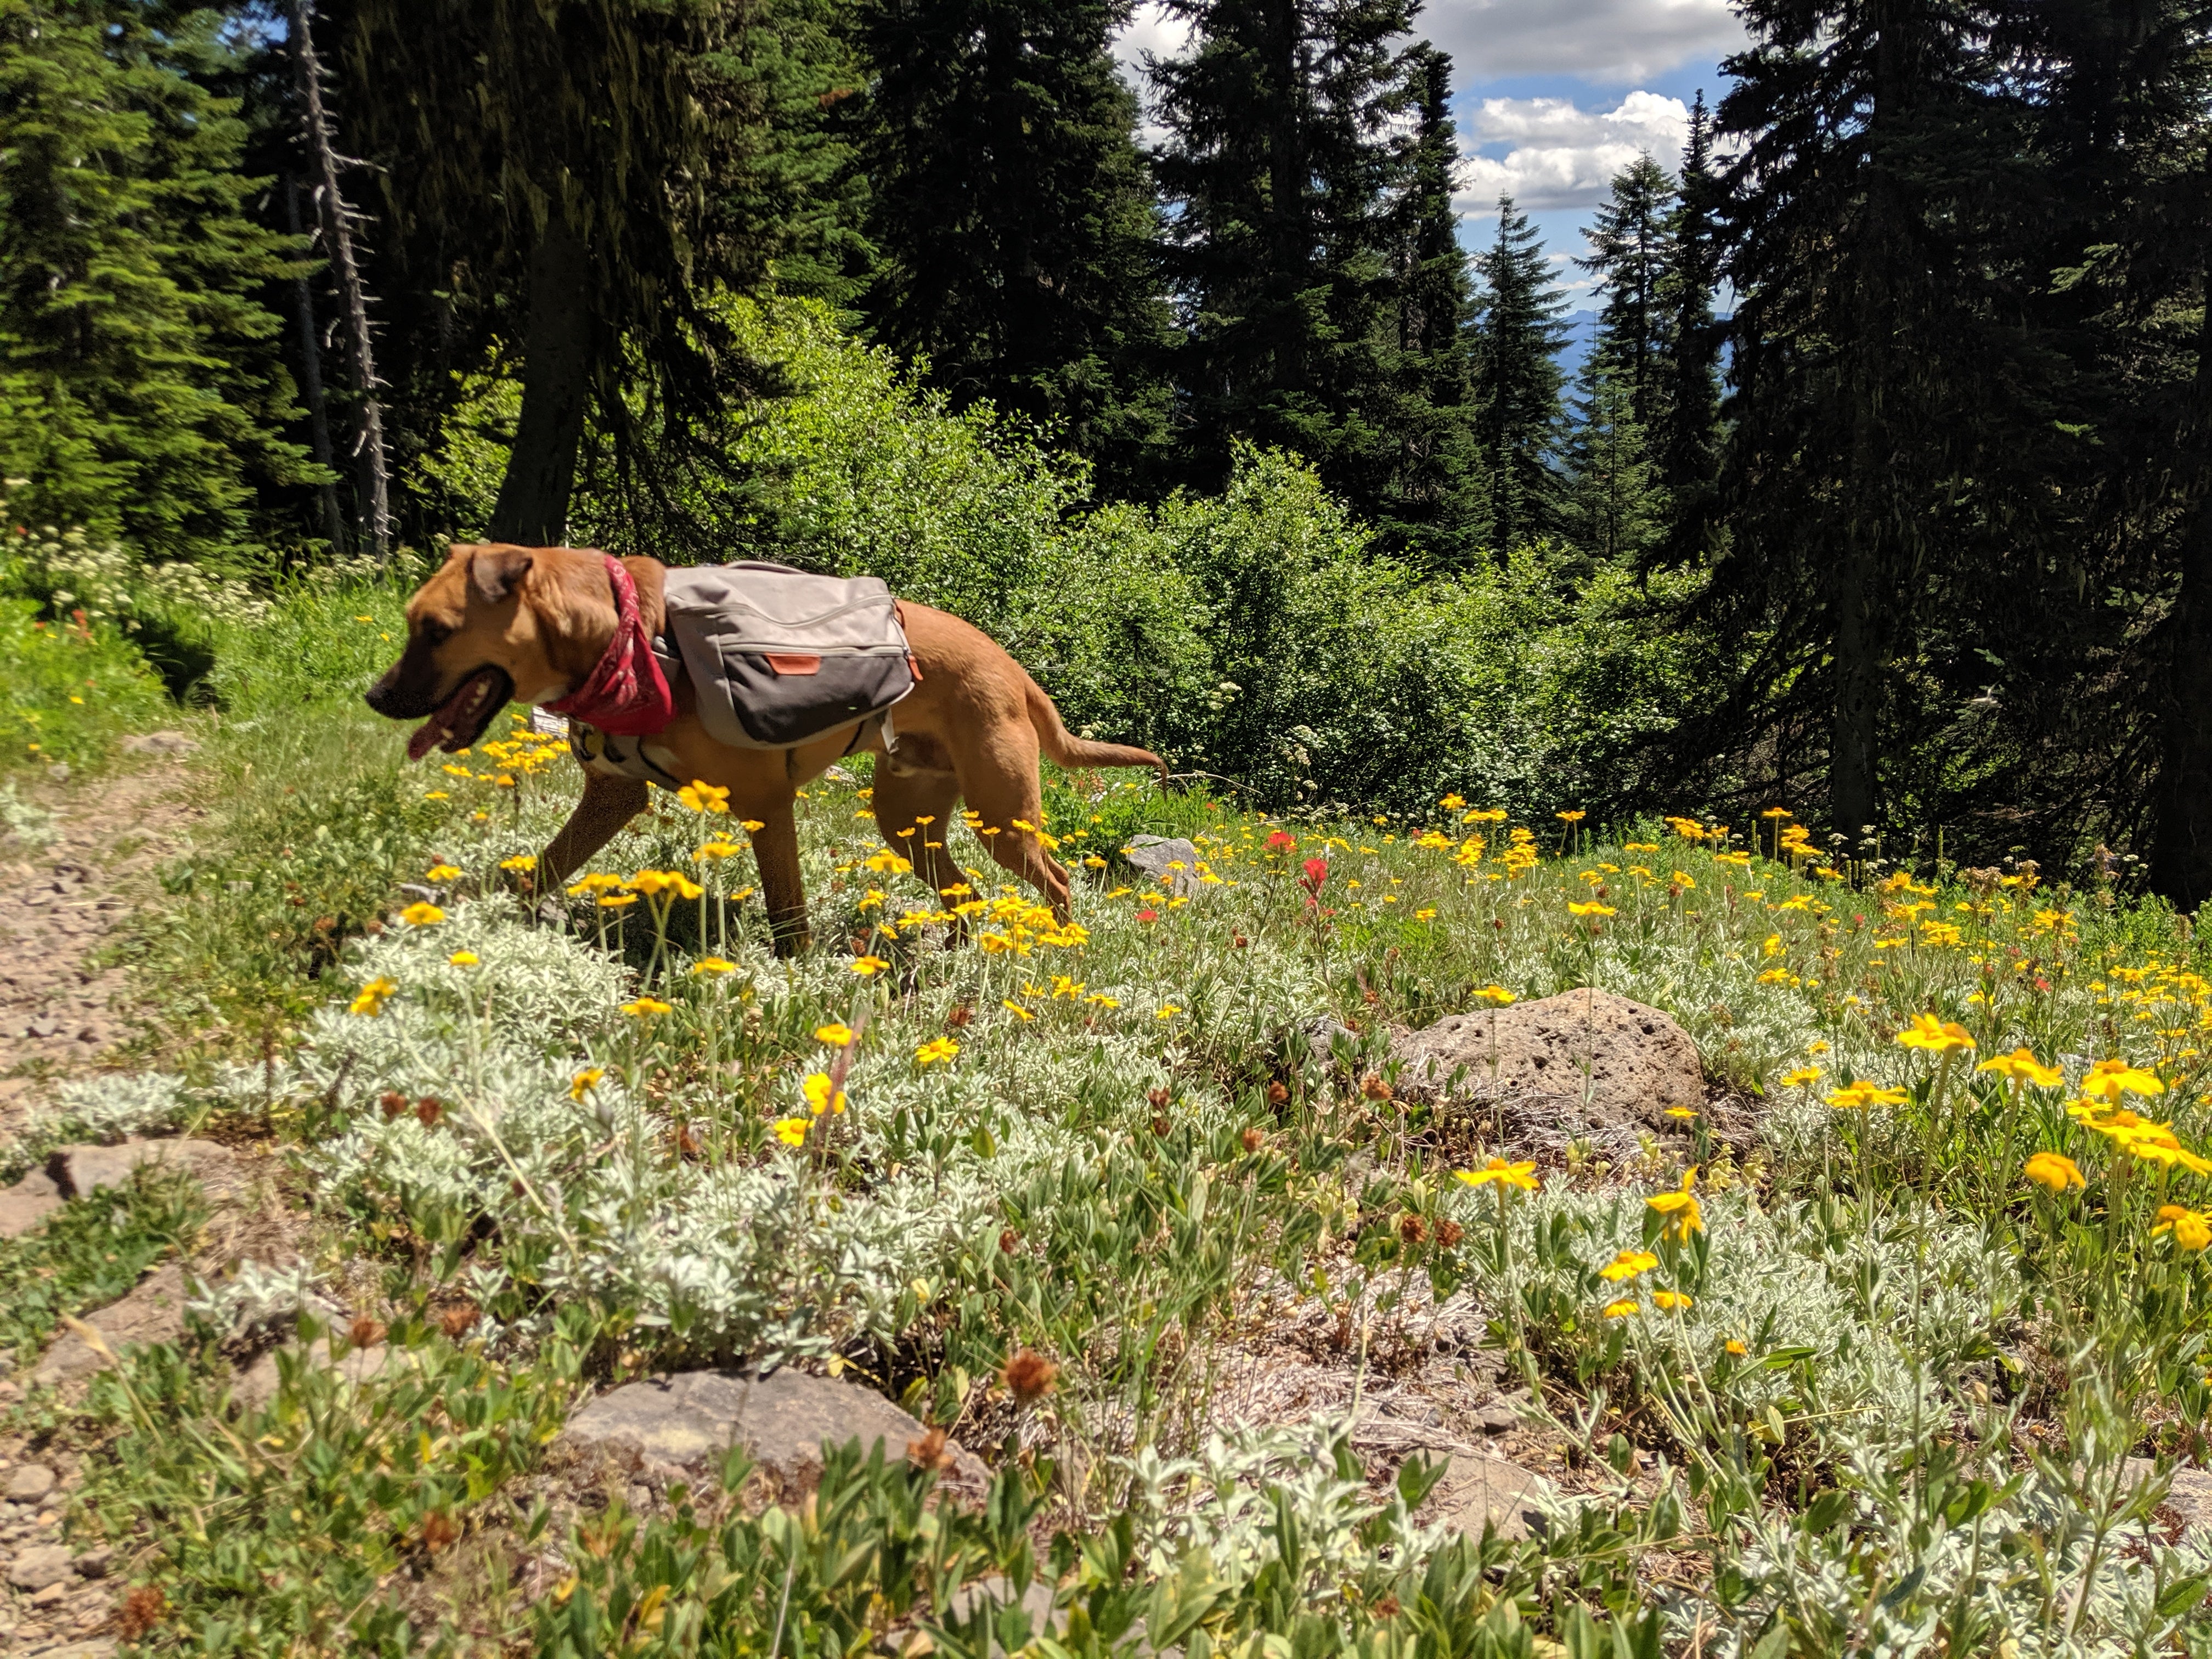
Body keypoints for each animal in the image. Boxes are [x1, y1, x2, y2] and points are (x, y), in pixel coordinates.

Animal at [367, 546, 1159, 955]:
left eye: (436, 630)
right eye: (412, 623)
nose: (376, 696)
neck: (626, 641)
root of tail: (1016, 669)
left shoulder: (765, 804)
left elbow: (788, 914)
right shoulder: (614, 795)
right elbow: (538, 871)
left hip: (1001, 819)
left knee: (1059, 881)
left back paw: (1059, 954)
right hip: (907, 822)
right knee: (964, 891)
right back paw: (959, 955)